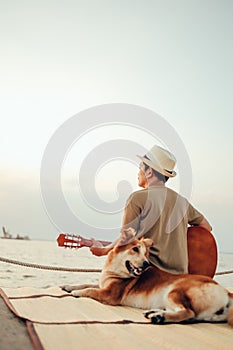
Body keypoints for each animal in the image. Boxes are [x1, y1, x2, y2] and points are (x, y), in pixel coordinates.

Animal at [62, 228, 233, 324]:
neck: (116, 271)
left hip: (175, 291)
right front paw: (68, 286)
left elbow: (89, 290)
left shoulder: (110, 293)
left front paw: (77, 292)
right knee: (191, 316)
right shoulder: (103, 284)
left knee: (188, 312)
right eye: (135, 249)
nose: (146, 264)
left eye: (146, 254)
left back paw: (160, 317)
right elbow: (86, 283)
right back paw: (156, 313)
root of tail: (225, 292)